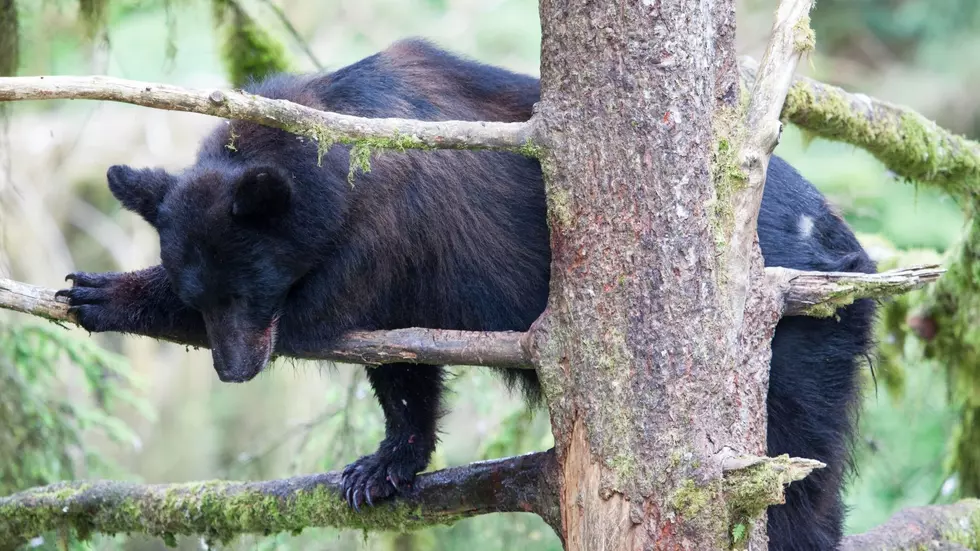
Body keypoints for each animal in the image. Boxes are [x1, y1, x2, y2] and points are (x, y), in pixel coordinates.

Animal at [57, 40, 876, 551]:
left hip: (796, 344)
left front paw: (110, 292)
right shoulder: (406, 270)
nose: (233, 370)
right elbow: (402, 363)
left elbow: (335, 316)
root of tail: (853, 254)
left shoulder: (385, 229)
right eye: (203, 294)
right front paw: (383, 466)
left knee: (795, 475)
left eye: (245, 289)